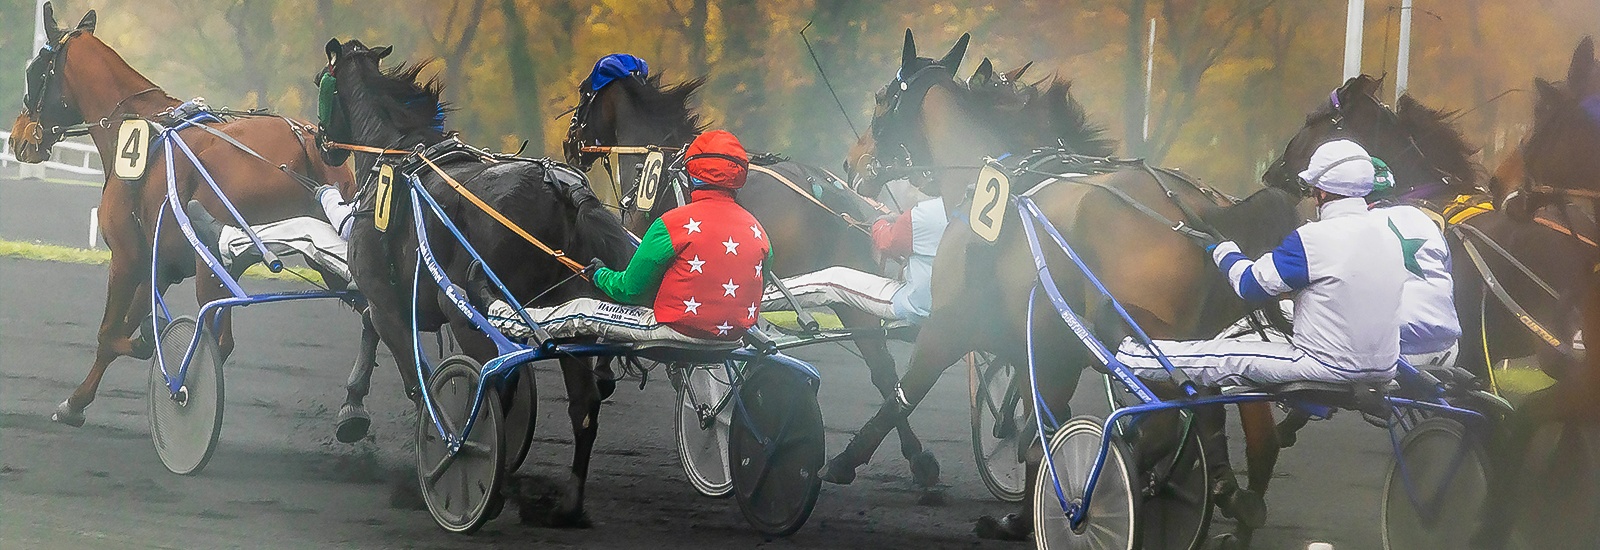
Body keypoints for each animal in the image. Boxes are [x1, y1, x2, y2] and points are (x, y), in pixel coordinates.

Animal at [7, 3, 376, 434]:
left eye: (35, 71)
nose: (17, 139)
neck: (141, 124)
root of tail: (305, 141)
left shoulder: (127, 259)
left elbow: (110, 333)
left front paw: (93, 388)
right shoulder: (161, 264)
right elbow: (126, 324)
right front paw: (82, 397)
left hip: (212, 264)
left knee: (221, 340)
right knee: (373, 313)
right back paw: (355, 405)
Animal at [318, 39, 636, 527]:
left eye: (322, 83)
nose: (321, 142)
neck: (398, 157)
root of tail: (560, 188)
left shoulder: (388, 301)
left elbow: (416, 378)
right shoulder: (398, 300)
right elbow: (372, 327)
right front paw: (352, 410)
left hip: (468, 314)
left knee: (496, 390)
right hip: (570, 317)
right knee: (582, 406)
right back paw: (567, 504)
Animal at [832, 27, 1305, 543]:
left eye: (881, 99)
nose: (852, 161)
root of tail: (1198, 209)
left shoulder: (950, 326)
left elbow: (903, 396)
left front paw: (846, 461)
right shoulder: (1042, 347)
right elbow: (1038, 427)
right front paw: (1022, 513)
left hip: (1134, 334)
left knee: (1166, 425)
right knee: (1216, 418)